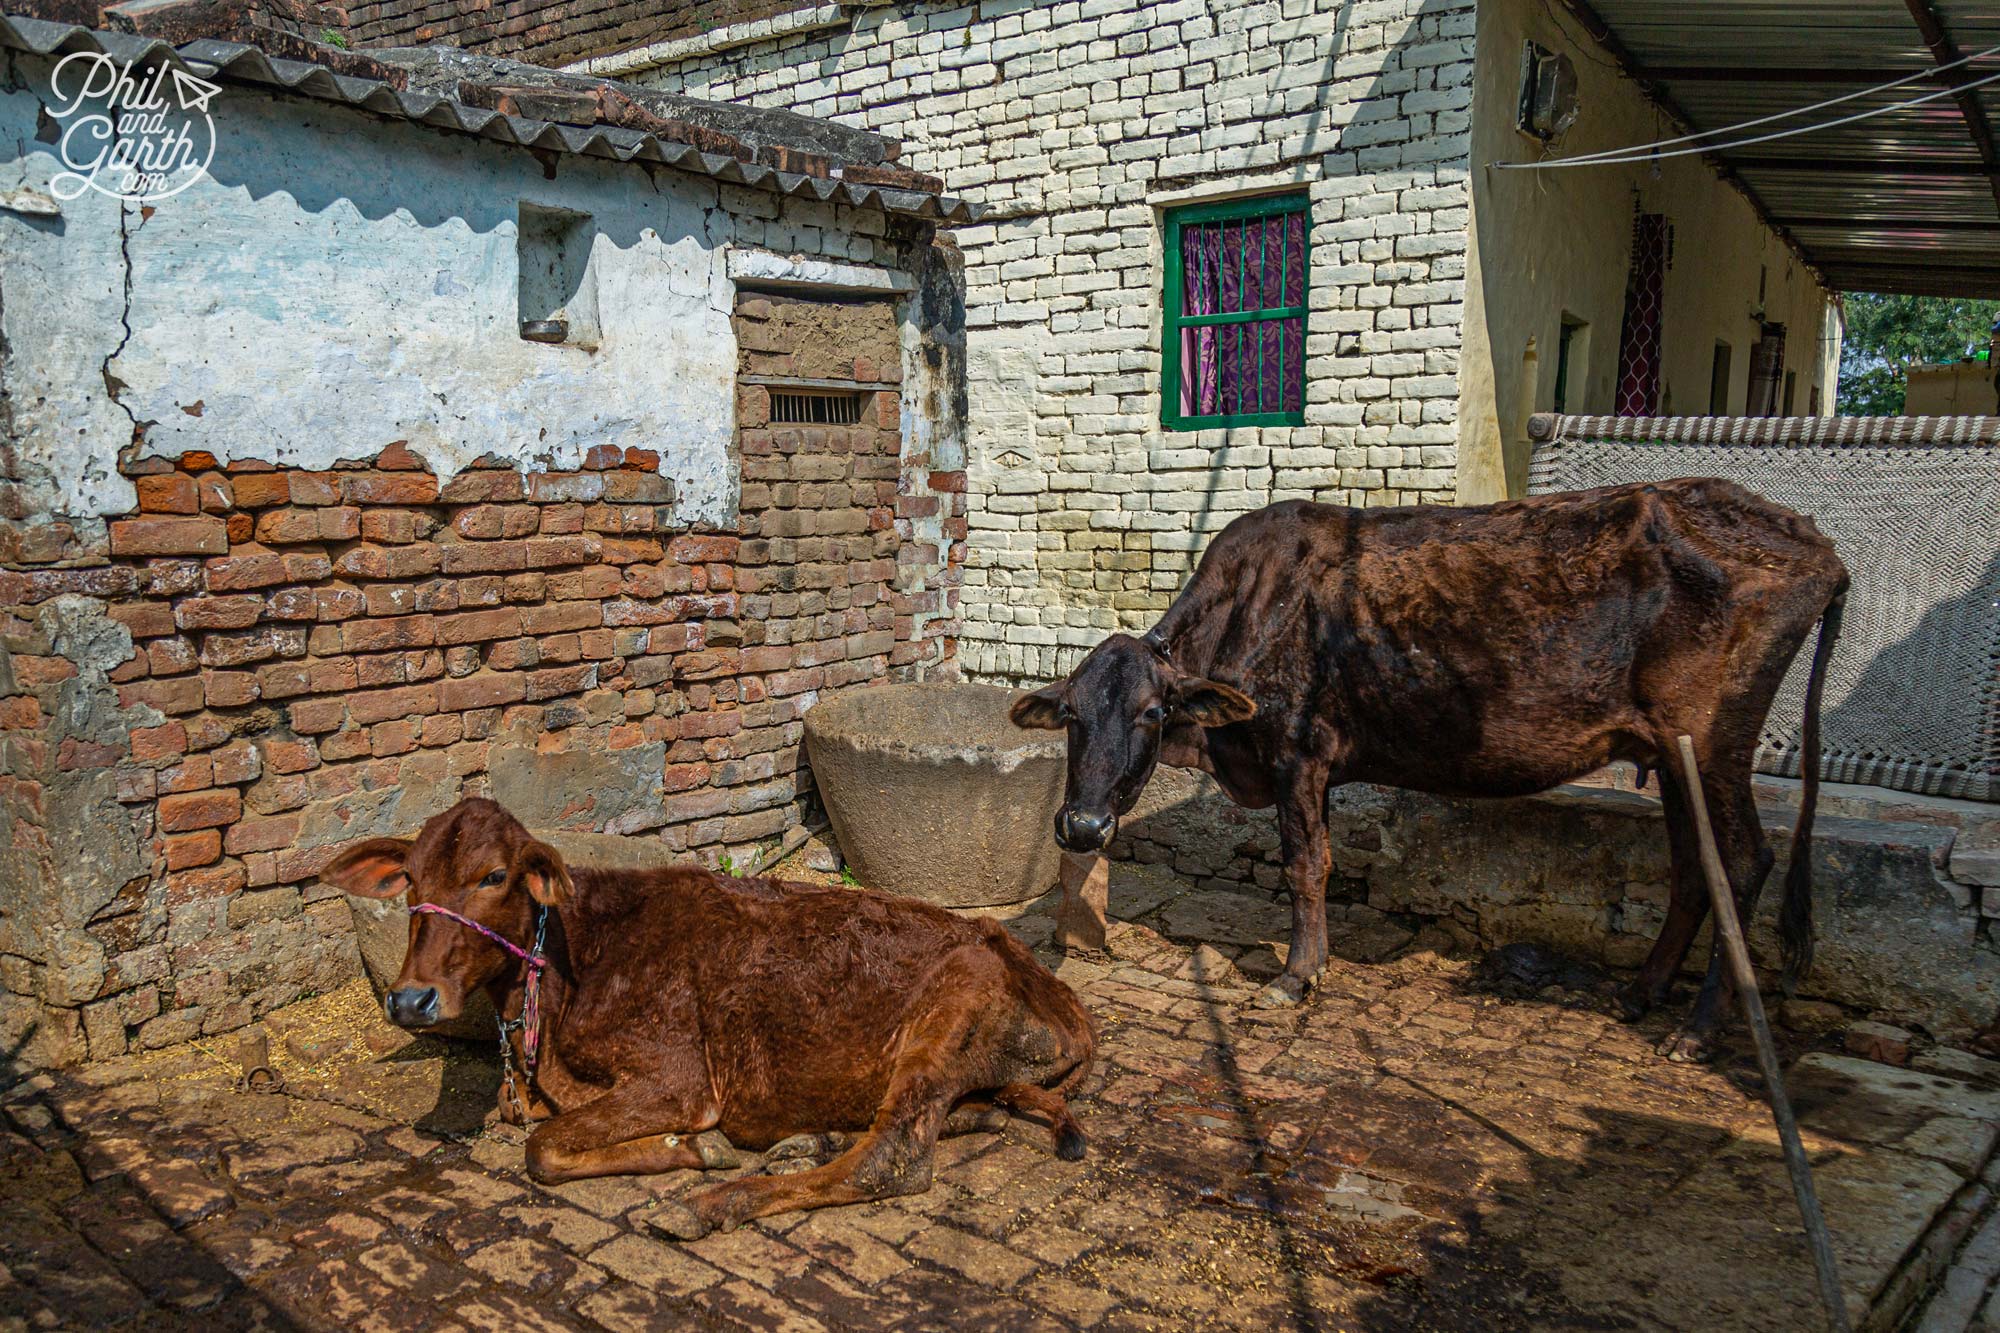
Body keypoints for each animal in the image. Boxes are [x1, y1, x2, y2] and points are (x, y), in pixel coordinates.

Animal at [324, 788, 1096, 1232]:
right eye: (411, 879)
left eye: (493, 875)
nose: (410, 998)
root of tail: (1061, 994)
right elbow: (522, 1124)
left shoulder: (679, 1079)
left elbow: (541, 1148)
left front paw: (693, 1150)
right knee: (971, 1115)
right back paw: (806, 1142)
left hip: (950, 1009)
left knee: (893, 1160)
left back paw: (716, 1204)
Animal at [1016, 482, 1840, 1056]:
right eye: (1072, 716)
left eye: (1153, 714)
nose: (1082, 825)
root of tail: (1809, 538)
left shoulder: (1299, 754)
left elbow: (1305, 866)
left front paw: (1297, 976)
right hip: (1674, 759)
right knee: (1693, 867)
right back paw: (1640, 993)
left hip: (1715, 744)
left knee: (1743, 864)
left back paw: (1697, 1030)